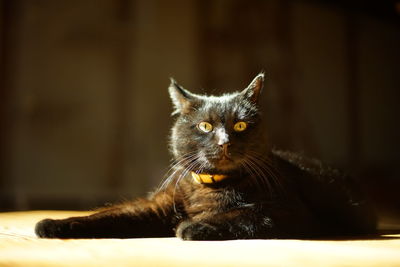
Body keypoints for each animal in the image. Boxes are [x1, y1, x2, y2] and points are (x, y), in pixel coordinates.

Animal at [36, 74, 376, 241]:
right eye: (205, 126)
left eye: (240, 126)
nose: (224, 142)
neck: (210, 185)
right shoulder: (155, 207)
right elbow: (110, 214)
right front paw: (54, 224)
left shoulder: (290, 213)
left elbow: (244, 215)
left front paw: (195, 226)